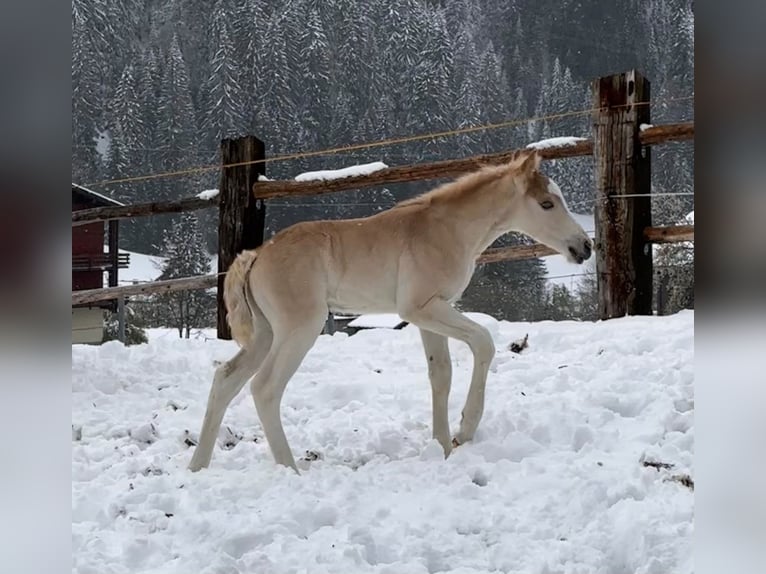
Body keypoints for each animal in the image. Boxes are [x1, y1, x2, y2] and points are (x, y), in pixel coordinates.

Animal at [190, 152, 592, 472]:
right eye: (546, 203)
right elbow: (483, 342)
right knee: (265, 387)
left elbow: (440, 374)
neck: (447, 231)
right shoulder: (419, 307)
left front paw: (444, 447)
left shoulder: (432, 313)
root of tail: (255, 256)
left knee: (225, 379)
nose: (584, 247)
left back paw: (198, 466)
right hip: (299, 328)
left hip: (265, 333)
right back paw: (290, 469)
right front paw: (465, 430)